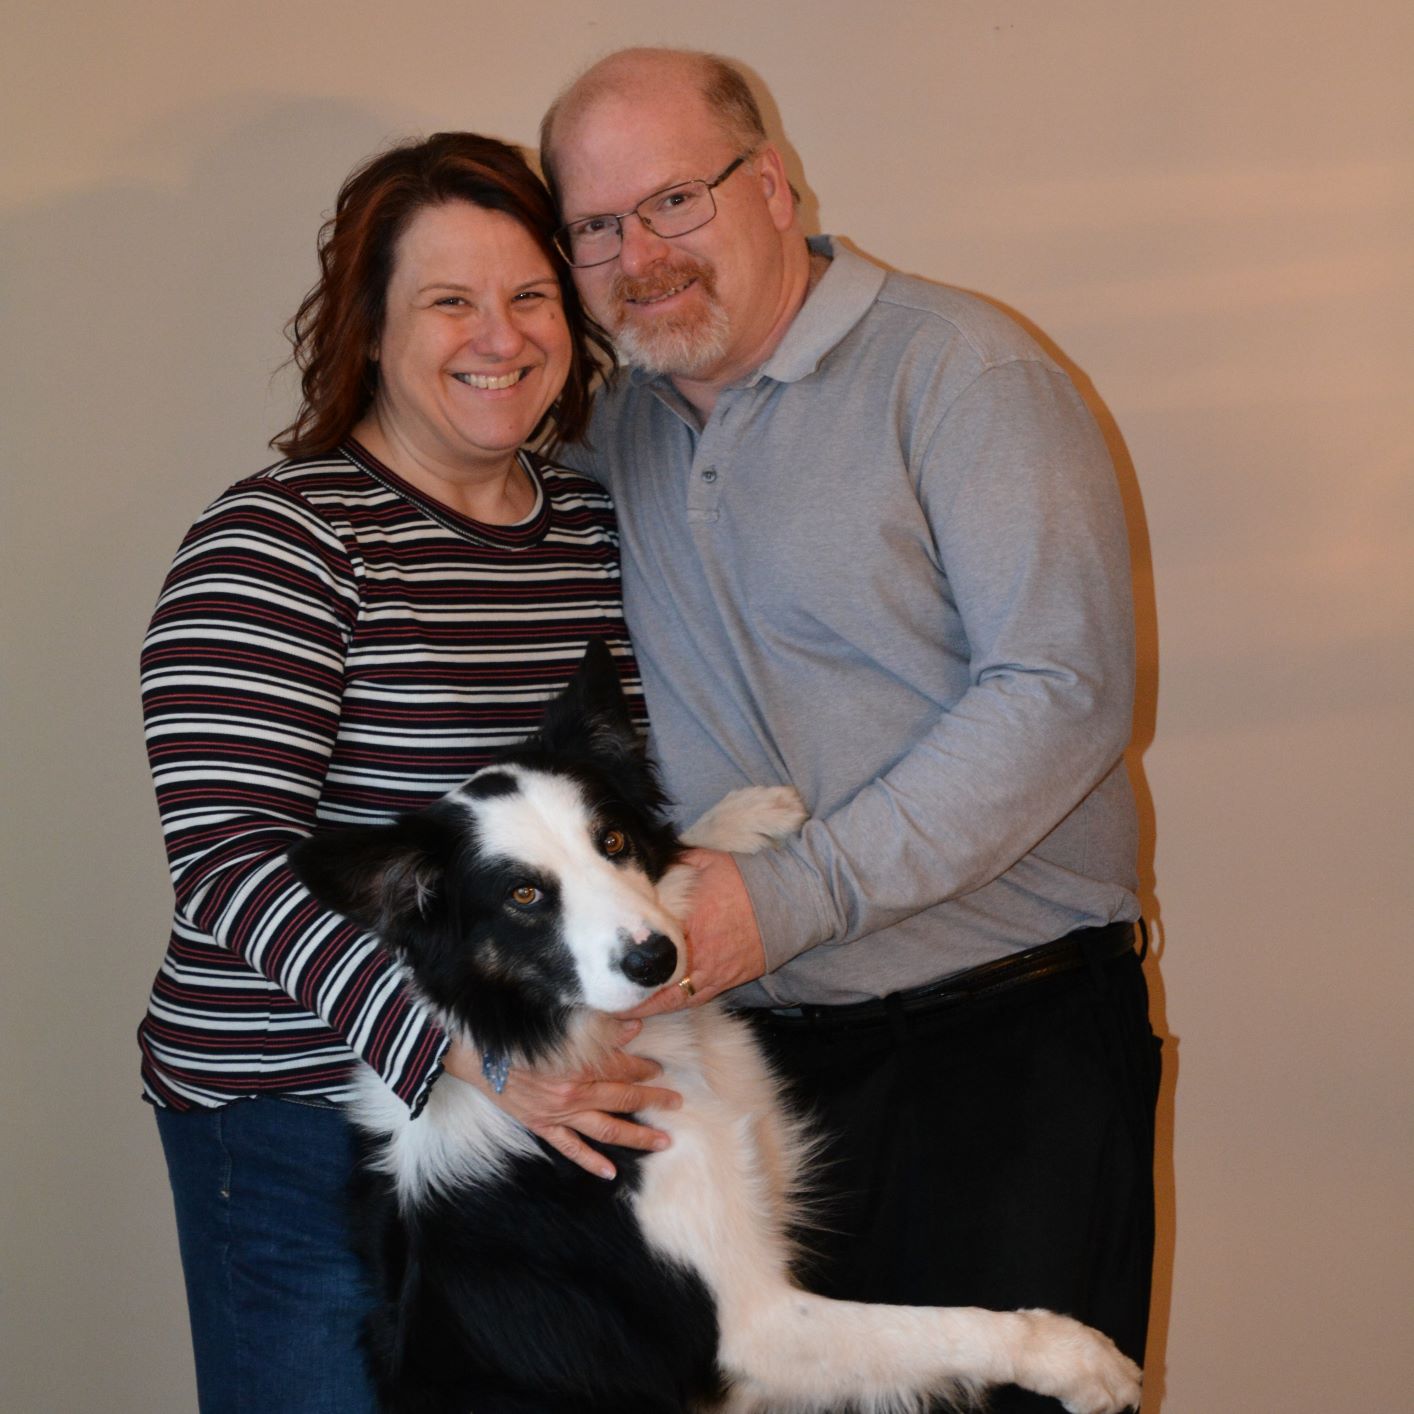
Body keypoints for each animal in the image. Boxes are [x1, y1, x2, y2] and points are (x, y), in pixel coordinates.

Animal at [287, 647, 1136, 1408]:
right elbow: (942, 1327)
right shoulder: (755, 1329)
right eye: (524, 896)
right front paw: (1077, 1357)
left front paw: (739, 823)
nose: (655, 959)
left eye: (613, 841)